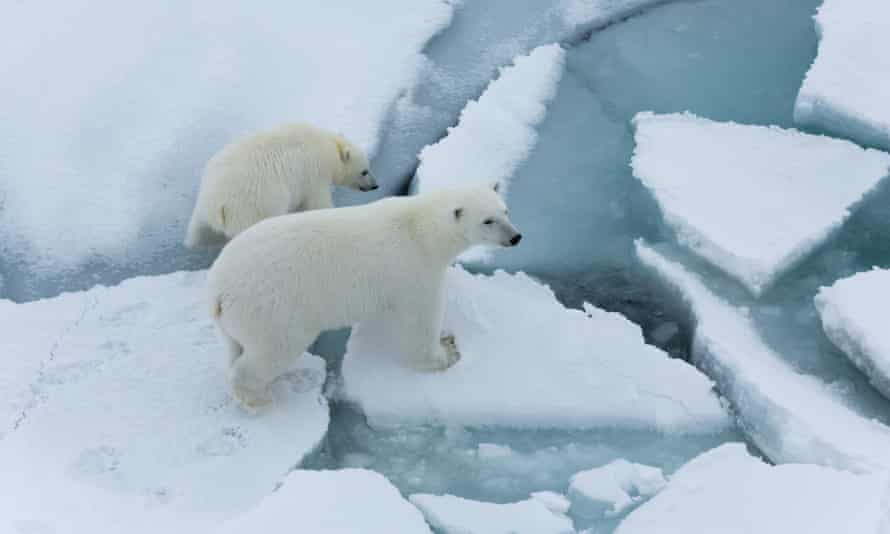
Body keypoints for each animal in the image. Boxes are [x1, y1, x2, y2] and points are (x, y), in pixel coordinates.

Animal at [184, 122, 378, 248]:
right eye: (364, 171)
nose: (375, 186)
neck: (328, 146)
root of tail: (218, 205)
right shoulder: (313, 174)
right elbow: (317, 203)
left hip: (202, 211)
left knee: (198, 233)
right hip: (253, 207)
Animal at [207, 184, 520, 410]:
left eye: (505, 211)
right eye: (488, 220)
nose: (516, 237)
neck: (421, 229)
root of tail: (218, 288)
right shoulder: (414, 269)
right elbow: (420, 320)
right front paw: (446, 352)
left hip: (237, 319)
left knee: (236, 347)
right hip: (271, 307)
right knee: (273, 349)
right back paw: (258, 398)